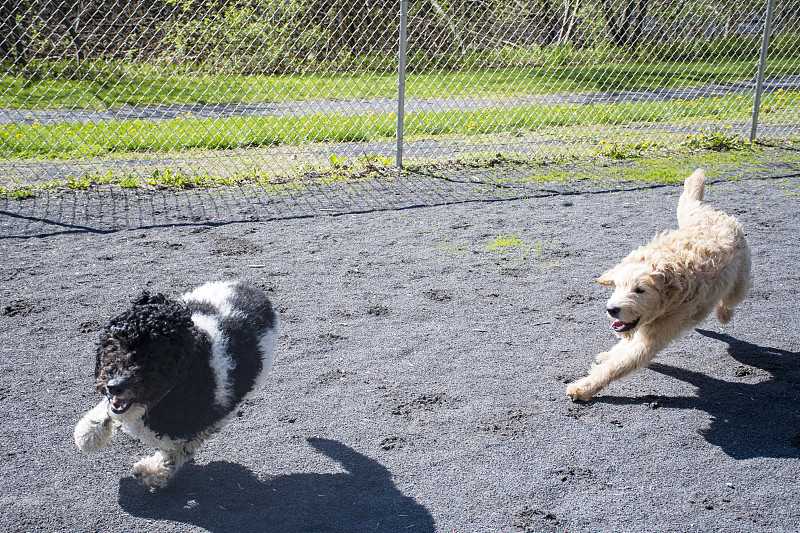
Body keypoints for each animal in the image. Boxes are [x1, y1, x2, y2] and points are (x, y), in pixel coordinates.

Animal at [73, 280, 278, 488]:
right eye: (116, 343)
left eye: (155, 354)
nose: (116, 385)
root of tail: (251, 290)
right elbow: (108, 410)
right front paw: (89, 432)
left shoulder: (204, 424)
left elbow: (177, 452)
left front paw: (153, 471)